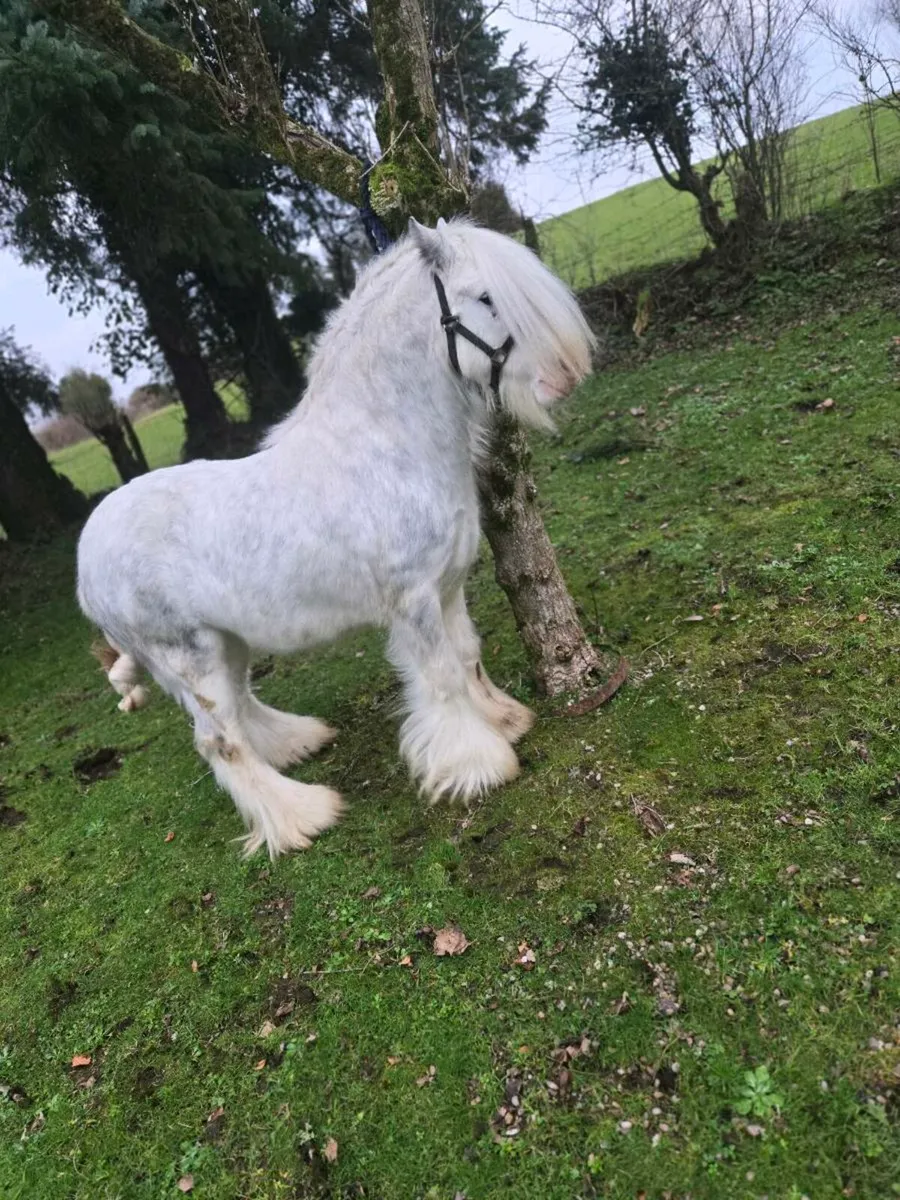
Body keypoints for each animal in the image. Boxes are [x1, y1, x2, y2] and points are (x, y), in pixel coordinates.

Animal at [76, 217, 595, 858]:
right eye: (487, 297)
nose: (564, 378)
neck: (388, 444)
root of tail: (85, 564)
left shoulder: (448, 588)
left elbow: (468, 656)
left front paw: (504, 721)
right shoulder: (415, 601)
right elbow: (443, 678)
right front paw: (477, 766)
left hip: (228, 642)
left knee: (242, 707)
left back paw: (298, 742)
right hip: (189, 658)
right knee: (220, 741)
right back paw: (302, 816)